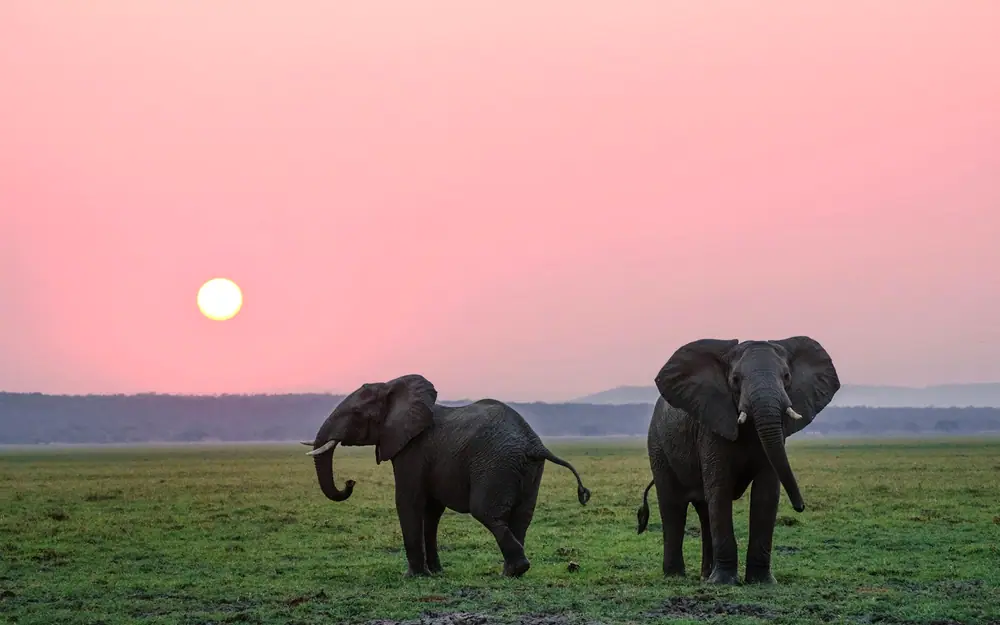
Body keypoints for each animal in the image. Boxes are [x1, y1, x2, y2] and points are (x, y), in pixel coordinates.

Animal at [301, 373, 592, 578]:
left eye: (356, 414)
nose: (349, 482)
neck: (393, 387)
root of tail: (534, 442)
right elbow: (431, 511)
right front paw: (436, 573)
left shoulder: (413, 450)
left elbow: (408, 501)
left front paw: (415, 576)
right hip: (527, 468)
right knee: (522, 517)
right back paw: (511, 573)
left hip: (495, 464)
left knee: (486, 512)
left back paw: (515, 570)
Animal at [635, 336, 840, 585]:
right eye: (735, 380)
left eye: (787, 376)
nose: (800, 507)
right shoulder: (712, 426)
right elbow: (720, 489)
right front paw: (723, 582)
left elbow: (766, 493)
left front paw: (762, 582)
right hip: (658, 445)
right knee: (673, 506)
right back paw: (676, 576)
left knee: (704, 510)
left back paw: (705, 576)